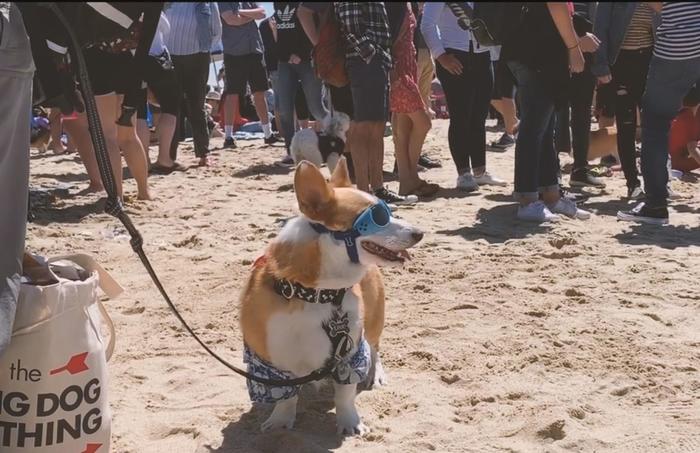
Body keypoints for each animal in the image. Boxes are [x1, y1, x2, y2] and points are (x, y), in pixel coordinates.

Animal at [241, 157, 424, 432]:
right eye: (379, 218)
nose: (420, 233)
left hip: (374, 320)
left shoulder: (350, 354)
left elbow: (345, 395)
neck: (315, 293)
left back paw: (376, 375)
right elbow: (285, 397)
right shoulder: (268, 365)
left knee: (375, 347)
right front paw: (280, 423)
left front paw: (350, 424)